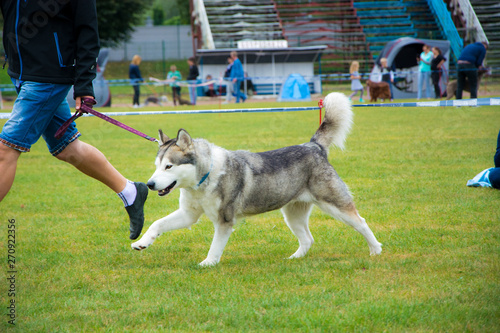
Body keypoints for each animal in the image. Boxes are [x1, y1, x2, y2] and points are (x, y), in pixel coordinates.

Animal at [133, 91, 382, 264]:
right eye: (156, 166)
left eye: (169, 166)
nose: (150, 184)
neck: (203, 180)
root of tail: (313, 146)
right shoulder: (188, 215)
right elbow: (157, 223)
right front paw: (142, 243)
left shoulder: (224, 220)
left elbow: (215, 246)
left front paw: (208, 263)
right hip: (292, 214)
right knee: (308, 239)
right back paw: (294, 259)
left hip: (334, 204)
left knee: (361, 222)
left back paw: (375, 249)